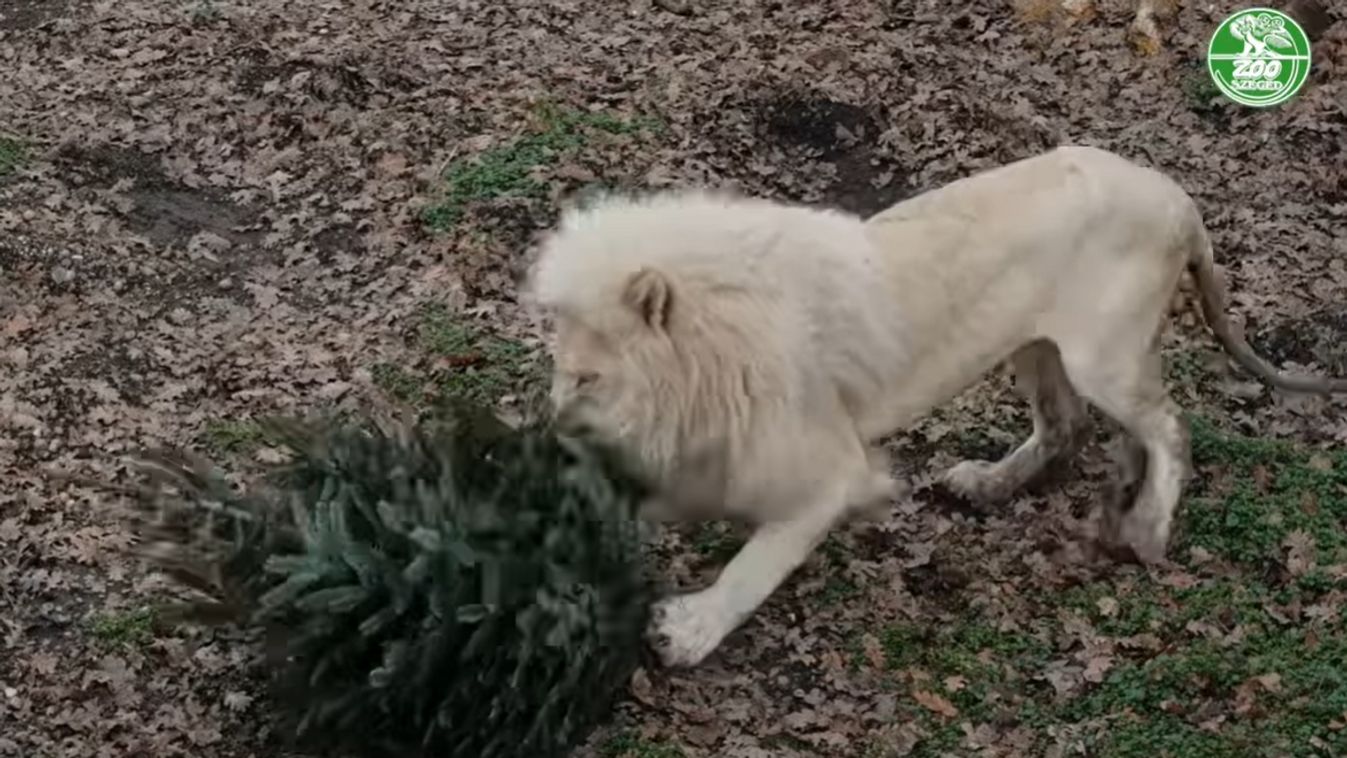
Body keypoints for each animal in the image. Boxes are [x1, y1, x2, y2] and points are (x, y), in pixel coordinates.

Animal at [522, 145, 1347, 667]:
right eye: (562, 374)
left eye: (586, 378)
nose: (550, 430)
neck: (705, 359)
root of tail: (1175, 195)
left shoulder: (828, 473)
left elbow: (755, 565)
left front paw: (686, 633)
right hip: (1034, 345)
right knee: (1068, 426)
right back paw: (989, 485)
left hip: (1100, 354)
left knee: (1169, 425)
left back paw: (1144, 526)